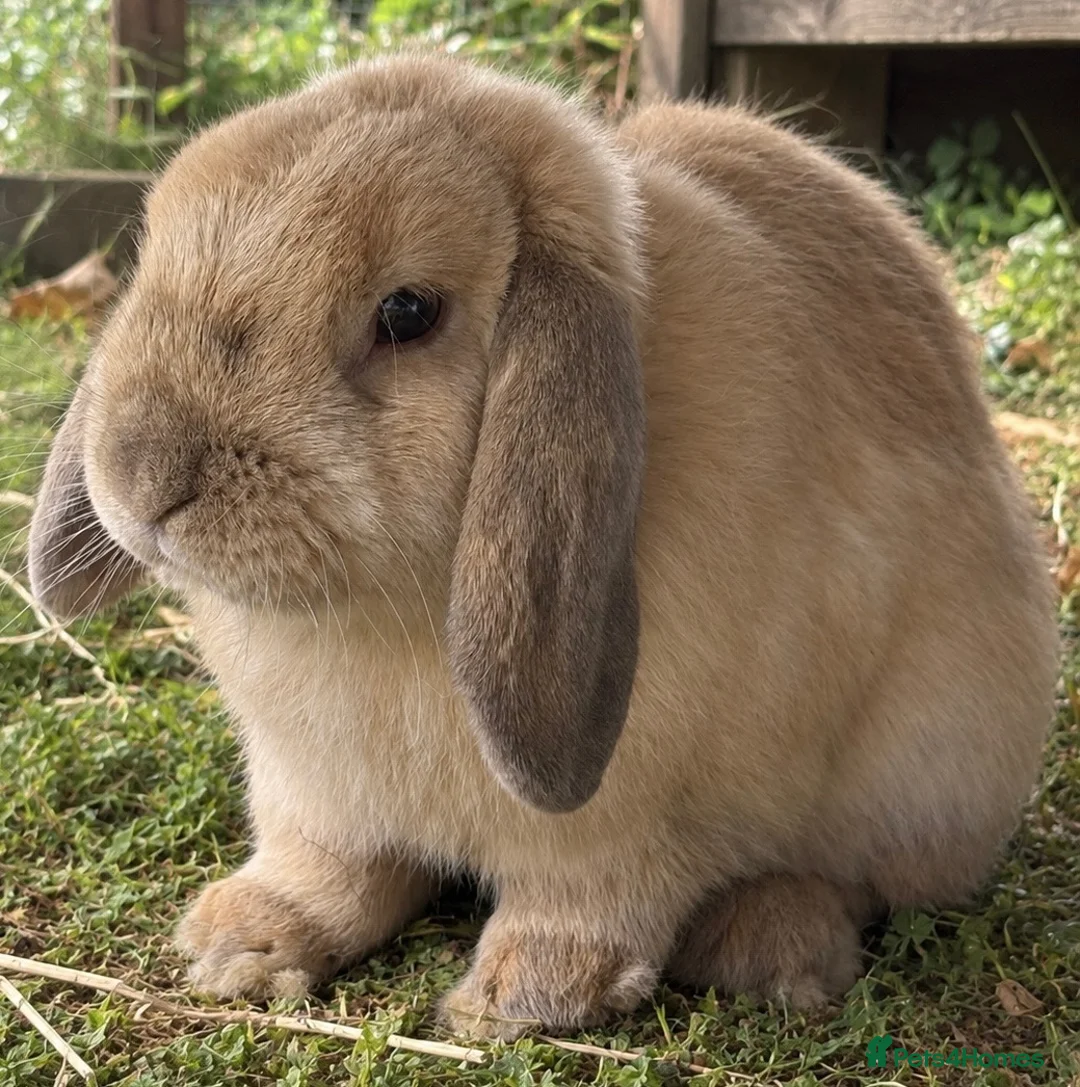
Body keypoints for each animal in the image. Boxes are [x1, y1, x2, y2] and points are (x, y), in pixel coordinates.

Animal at [28, 53, 1057, 1039]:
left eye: (407, 313)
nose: (143, 475)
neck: (378, 613)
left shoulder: (633, 821)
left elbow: (591, 898)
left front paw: (523, 996)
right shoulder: (314, 795)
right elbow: (328, 870)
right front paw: (239, 946)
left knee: (854, 878)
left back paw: (770, 947)